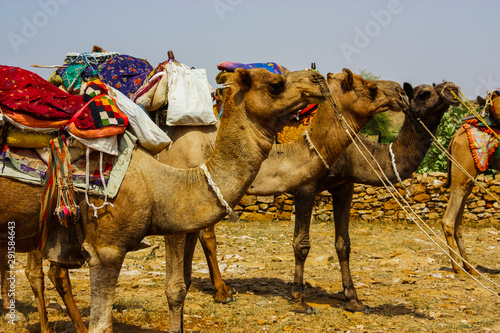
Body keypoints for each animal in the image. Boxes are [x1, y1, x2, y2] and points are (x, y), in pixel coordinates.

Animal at [442, 87, 500, 272]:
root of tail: (454, 137)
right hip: (462, 171)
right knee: (449, 219)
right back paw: (457, 268)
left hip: (468, 178)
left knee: (458, 221)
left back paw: (468, 266)